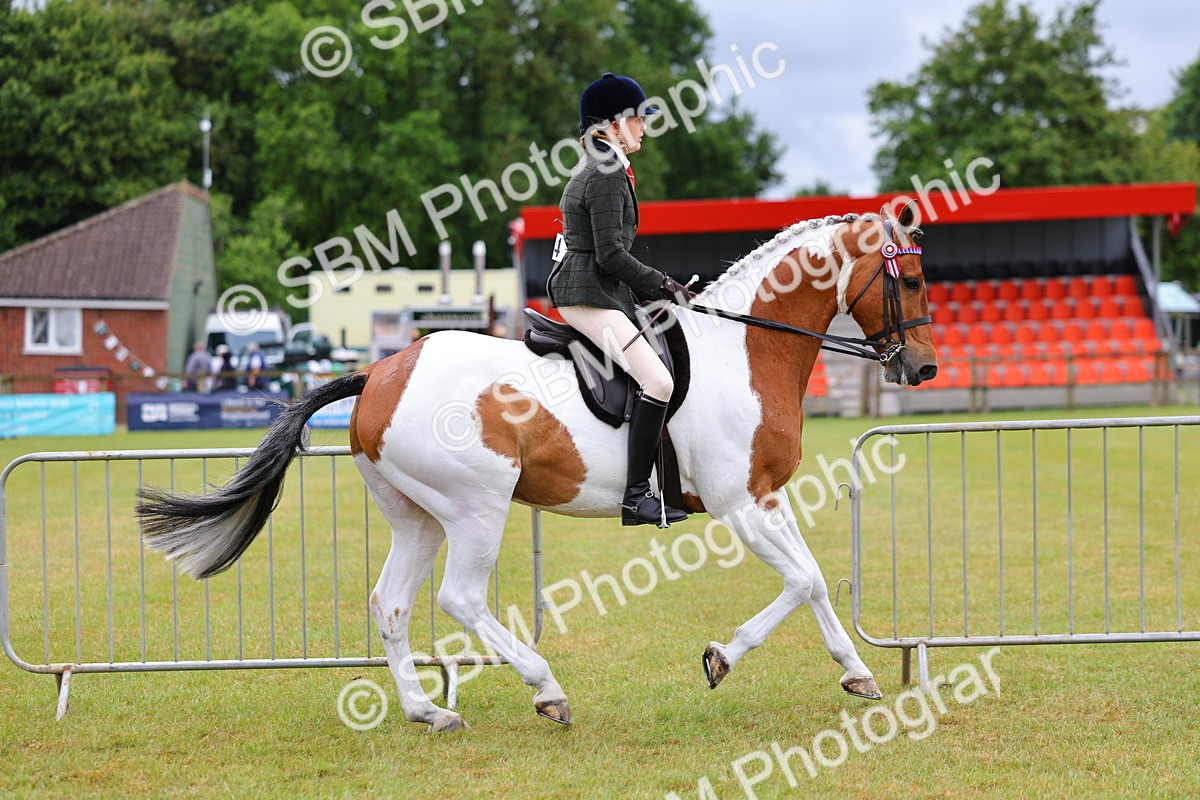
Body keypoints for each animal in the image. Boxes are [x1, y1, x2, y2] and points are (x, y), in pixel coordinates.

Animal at [137, 203, 937, 732]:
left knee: (391, 603)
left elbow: (815, 580)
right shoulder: (738, 503)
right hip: (476, 508)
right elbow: (799, 580)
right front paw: (722, 657)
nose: (925, 369)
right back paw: (545, 687)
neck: (744, 350)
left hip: (419, 518)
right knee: (460, 598)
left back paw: (426, 710)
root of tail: (381, 373)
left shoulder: (765, 496)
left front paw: (858, 672)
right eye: (914, 282)